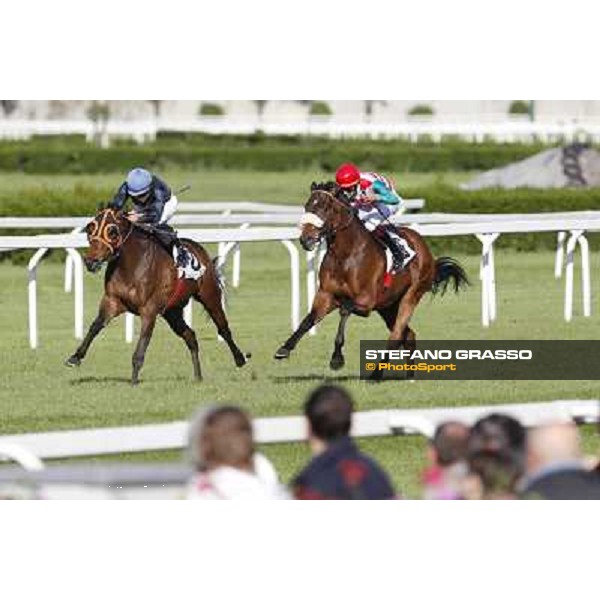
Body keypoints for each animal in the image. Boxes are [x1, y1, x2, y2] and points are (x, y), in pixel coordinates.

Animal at [67, 206, 250, 384]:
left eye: (112, 231)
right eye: (90, 229)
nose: (91, 261)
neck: (131, 265)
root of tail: (200, 250)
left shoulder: (149, 310)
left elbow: (142, 344)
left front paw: (134, 381)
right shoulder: (112, 302)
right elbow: (95, 326)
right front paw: (75, 357)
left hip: (209, 296)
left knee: (223, 328)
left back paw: (240, 359)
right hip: (172, 311)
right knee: (190, 335)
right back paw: (198, 377)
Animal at [274, 180, 468, 372]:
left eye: (326, 208)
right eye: (307, 206)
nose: (306, 239)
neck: (345, 255)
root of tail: (424, 247)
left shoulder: (366, 301)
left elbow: (345, 309)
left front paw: (337, 358)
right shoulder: (326, 295)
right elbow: (309, 319)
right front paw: (285, 348)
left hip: (411, 295)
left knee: (396, 335)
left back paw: (376, 372)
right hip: (388, 306)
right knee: (408, 334)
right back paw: (408, 374)